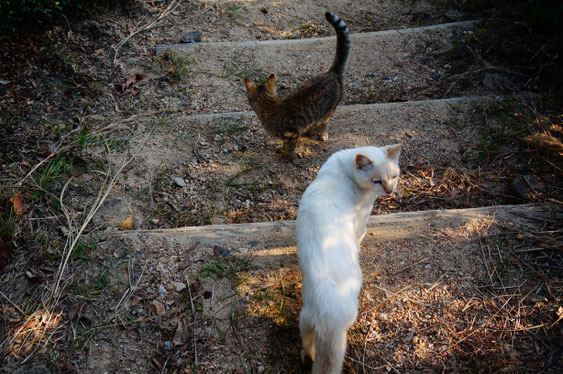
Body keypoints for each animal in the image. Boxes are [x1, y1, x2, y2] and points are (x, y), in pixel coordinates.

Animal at [245, 12, 350, 162]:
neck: (269, 106)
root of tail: (332, 73)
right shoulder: (287, 136)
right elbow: (284, 144)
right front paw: (281, 149)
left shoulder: (292, 134)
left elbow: (290, 148)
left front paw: (293, 157)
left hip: (328, 110)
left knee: (325, 121)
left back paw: (323, 134)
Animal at [298, 144, 404, 374]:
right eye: (376, 181)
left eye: (394, 176)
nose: (389, 191)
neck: (344, 168)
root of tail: (329, 316)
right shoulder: (362, 221)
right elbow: (360, 238)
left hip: (305, 320)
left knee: (308, 347)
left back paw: (307, 358)